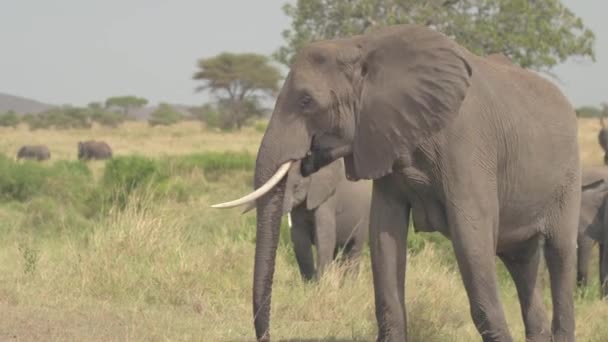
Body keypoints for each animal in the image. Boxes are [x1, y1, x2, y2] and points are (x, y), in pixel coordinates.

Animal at [213, 24, 580, 342]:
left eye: (306, 101)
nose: (267, 335)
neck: (361, 46)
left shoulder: (468, 146)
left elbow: (471, 239)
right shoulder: (384, 137)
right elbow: (385, 234)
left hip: (568, 177)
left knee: (560, 255)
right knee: (522, 263)